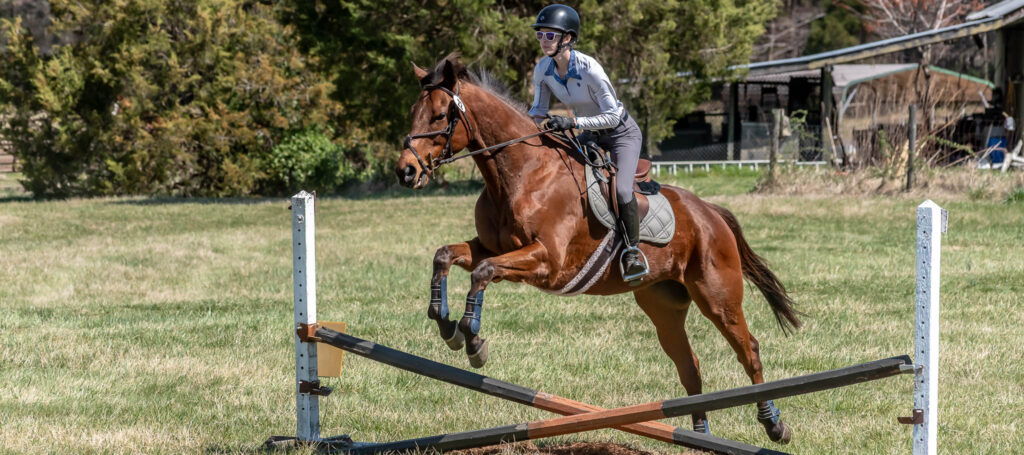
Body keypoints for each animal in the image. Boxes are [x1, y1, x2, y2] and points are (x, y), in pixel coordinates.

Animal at [395, 54, 802, 444]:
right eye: (412, 112)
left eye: (440, 115)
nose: (405, 171)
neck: (523, 173)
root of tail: (710, 212)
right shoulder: (489, 247)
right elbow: (446, 255)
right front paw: (445, 324)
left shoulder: (547, 262)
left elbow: (483, 272)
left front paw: (473, 338)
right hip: (664, 307)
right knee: (690, 365)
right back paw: (699, 434)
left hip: (718, 297)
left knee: (749, 351)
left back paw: (774, 425)